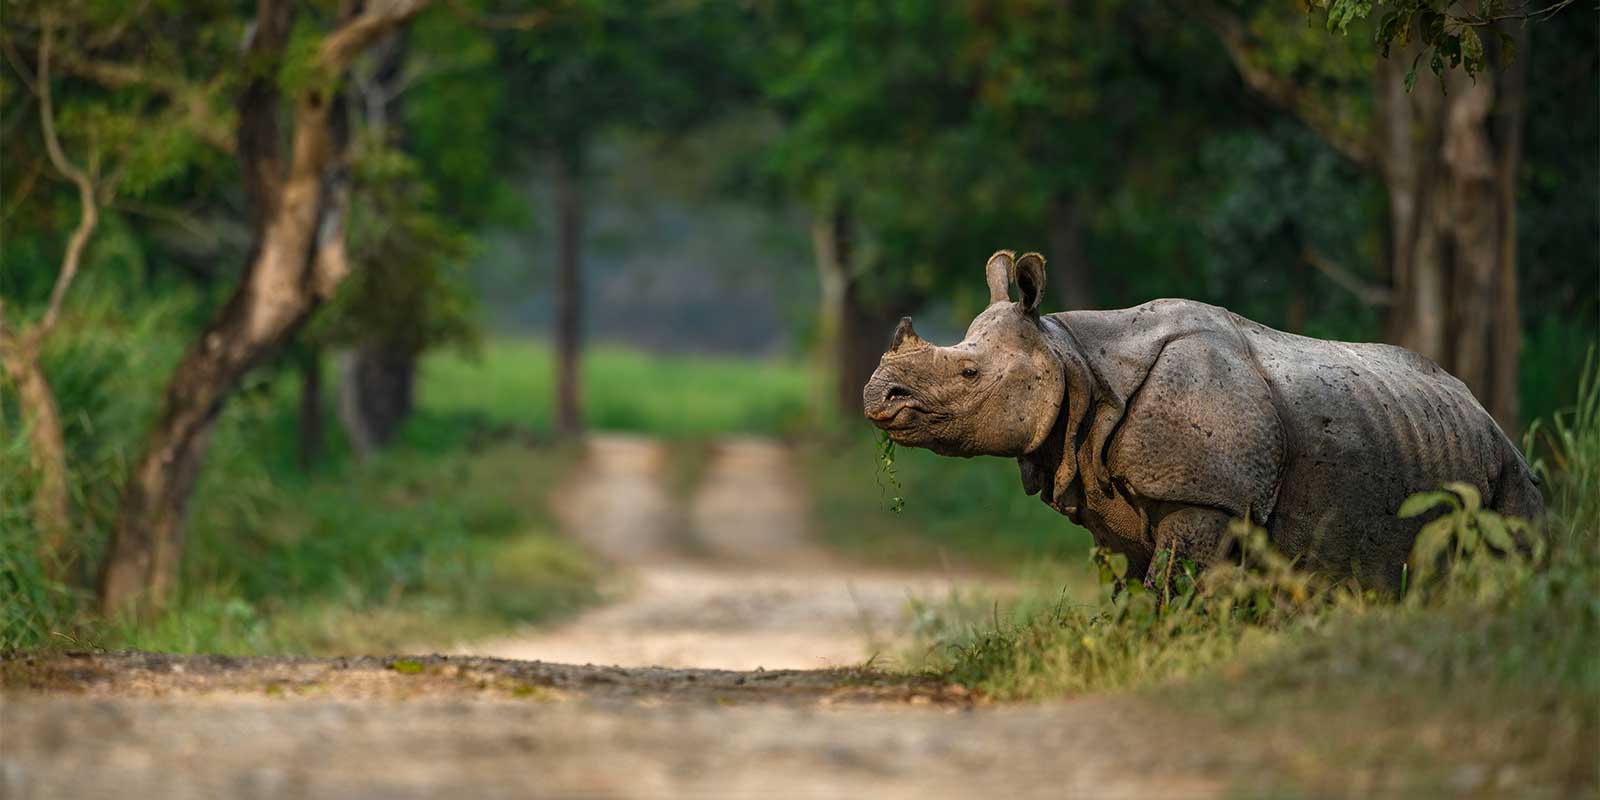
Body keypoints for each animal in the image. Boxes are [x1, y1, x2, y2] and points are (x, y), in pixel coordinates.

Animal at [862, 250, 1543, 592]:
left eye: (968, 373)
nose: (876, 397)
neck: (1073, 360)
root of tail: (1487, 415)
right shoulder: (1111, 492)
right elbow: (1132, 590)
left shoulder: (1207, 496)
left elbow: (1171, 587)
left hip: (1508, 469)